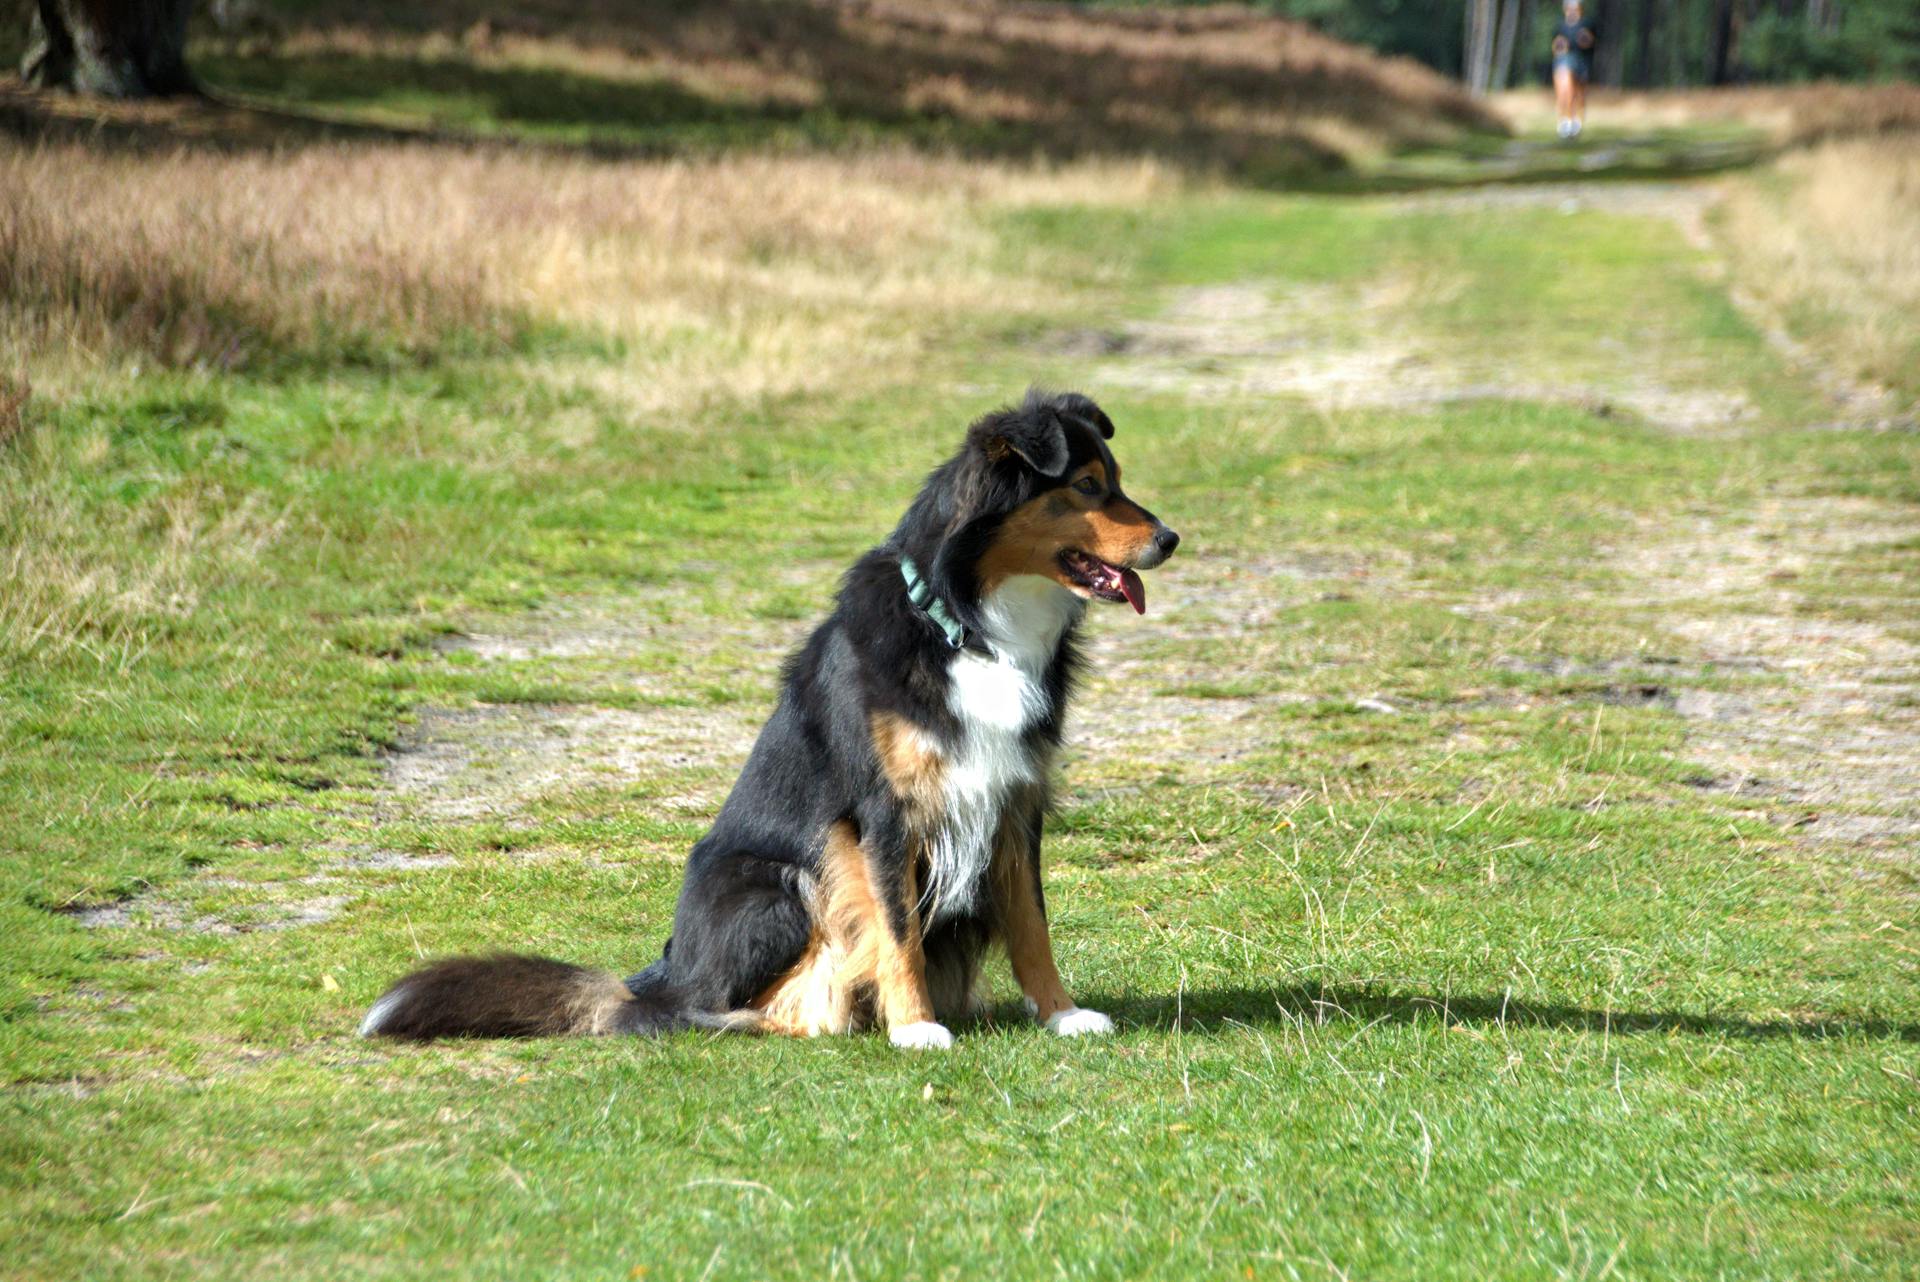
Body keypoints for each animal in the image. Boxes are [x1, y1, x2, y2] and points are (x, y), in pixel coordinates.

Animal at [357, 393, 1167, 1051]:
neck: (970, 627)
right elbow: (897, 929)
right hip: (776, 882)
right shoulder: (883, 813)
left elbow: (1033, 922)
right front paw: (916, 1027)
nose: (1171, 539)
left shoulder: (1014, 799)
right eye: (1086, 487)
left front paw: (1063, 1014)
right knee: (700, 1010)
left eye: (1117, 479)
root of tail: (660, 974)